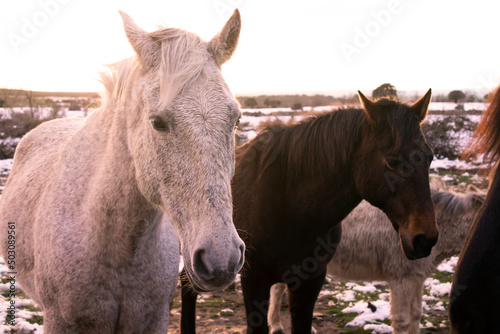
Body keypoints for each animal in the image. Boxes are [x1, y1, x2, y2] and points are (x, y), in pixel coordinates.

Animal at [181, 90, 438, 334]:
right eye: (393, 162)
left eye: (430, 157)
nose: (425, 239)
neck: (292, 210)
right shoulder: (254, 281)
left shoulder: (309, 282)